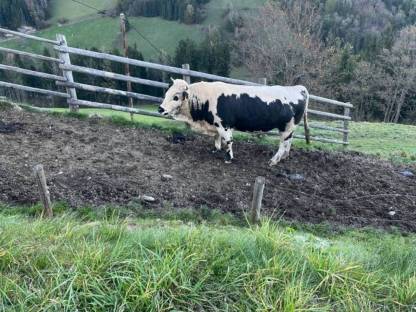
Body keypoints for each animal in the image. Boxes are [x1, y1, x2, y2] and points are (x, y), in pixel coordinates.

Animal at [159, 79, 308, 166]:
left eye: (175, 97)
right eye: (166, 93)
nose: (160, 109)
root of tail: (298, 88)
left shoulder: (224, 125)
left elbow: (228, 141)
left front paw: (228, 158)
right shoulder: (216, 125)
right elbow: (217, 138)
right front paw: (215, 149)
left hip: (287, 127)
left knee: (283, 144)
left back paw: (274, 161)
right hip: (290, 128)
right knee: (288, 143)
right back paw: (284, 158)